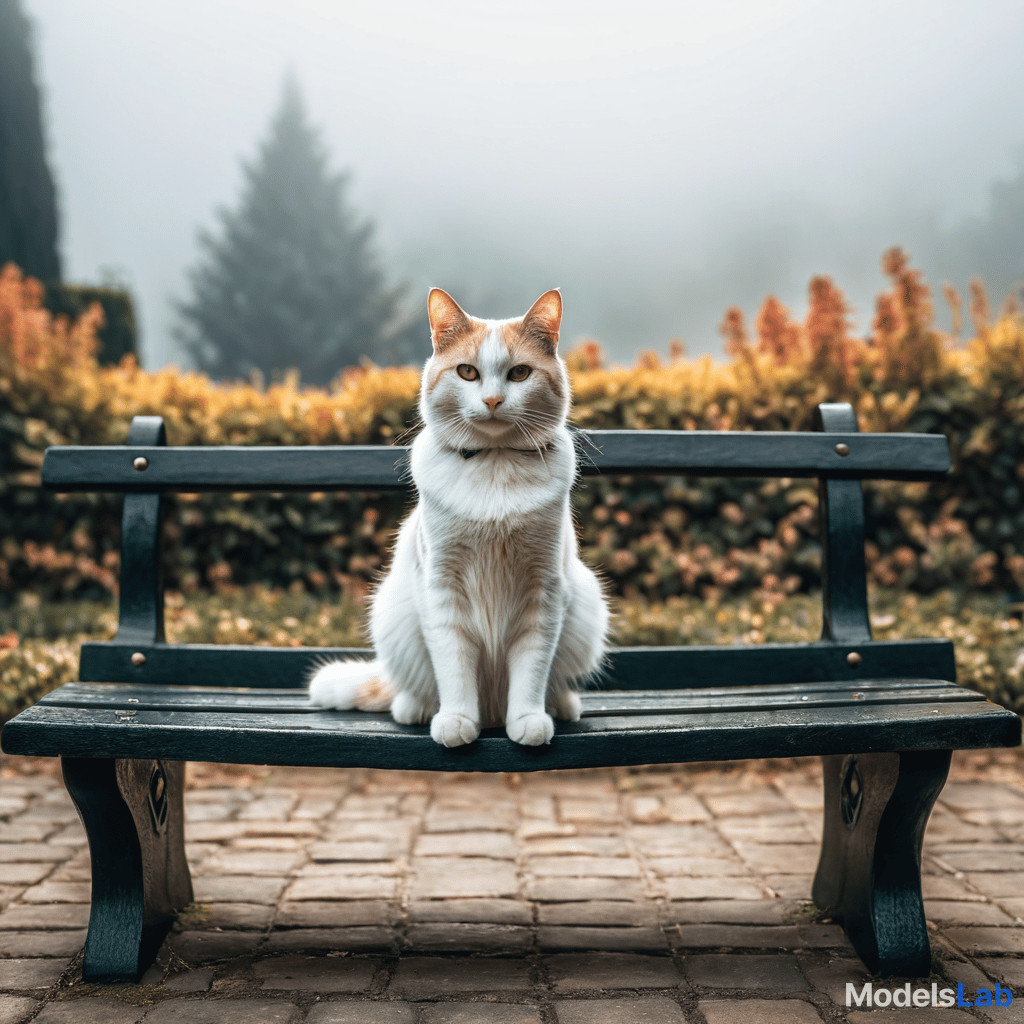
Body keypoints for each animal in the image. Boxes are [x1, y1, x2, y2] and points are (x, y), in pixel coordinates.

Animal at [303, 286, 606, 745]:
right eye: (467, 372)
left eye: (520, 374)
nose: (493, 400)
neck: (494, 464)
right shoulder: (442, 586)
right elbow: (454, 665)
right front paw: (458, 720)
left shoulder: (545, 590)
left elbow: (532, 667)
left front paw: (528, 718)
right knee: (417, 687)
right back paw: (415, 708)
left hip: (585, 602)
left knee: (552, 681)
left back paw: (560, 705)